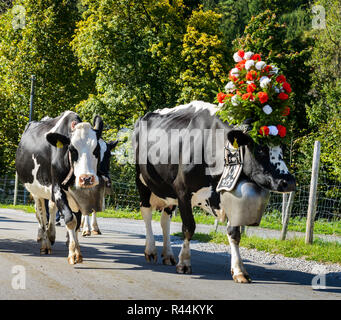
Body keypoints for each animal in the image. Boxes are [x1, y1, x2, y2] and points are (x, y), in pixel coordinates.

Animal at [15, 111, 105, 264]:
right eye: (72, 149)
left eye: (97, 149)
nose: (86, 178)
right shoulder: (57, 189)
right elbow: (70, 219)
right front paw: (73, 253)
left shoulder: (77, 195)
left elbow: (77, 221)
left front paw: (75, 249)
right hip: (36, 191)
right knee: (42, 216)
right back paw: (45, 244)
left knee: (51, 209)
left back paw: (51, 235)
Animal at [133, 48, 294, 282]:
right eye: (261, 148)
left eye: (281, 148)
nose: (288, 182)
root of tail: (145, 115)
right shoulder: (183, 191)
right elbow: (188, 227)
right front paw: (184, 263)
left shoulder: (227, 195)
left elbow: (234, 233)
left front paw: (239, 270)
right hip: (143, 182)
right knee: (146, 212)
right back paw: (151, 250)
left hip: (167, 190)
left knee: (164, 219)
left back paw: (168, 254)